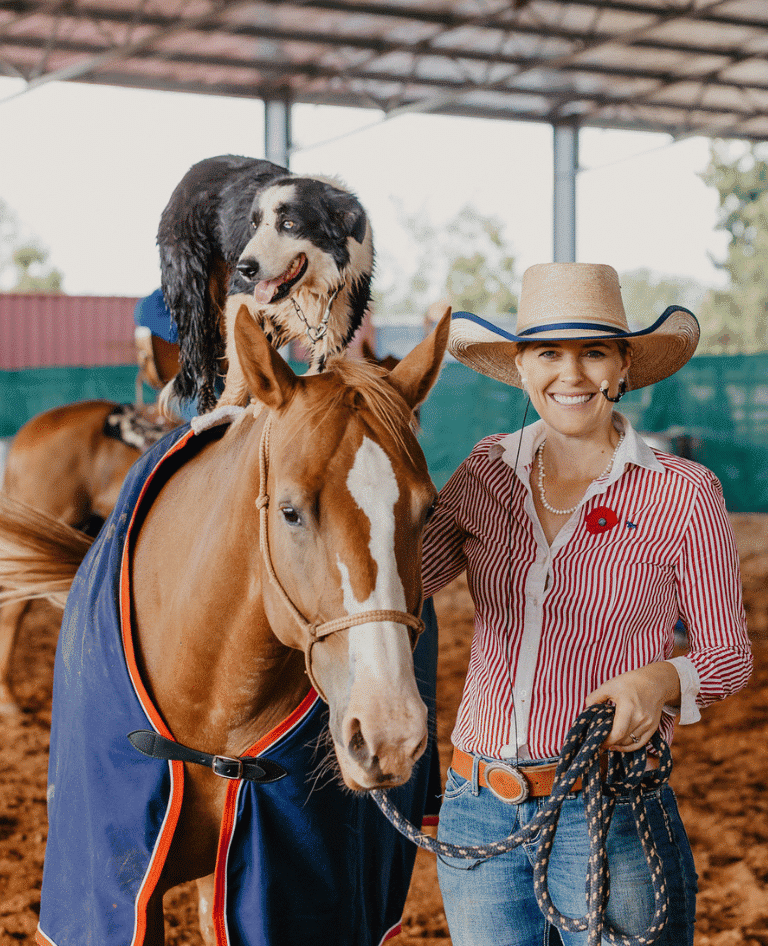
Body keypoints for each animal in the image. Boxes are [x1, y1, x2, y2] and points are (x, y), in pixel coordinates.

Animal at [158, 156, 374, 412]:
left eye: (289, 224)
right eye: (253, 225)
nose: (244, 269)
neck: (309, 290)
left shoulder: (336, 327)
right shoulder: (240, 296)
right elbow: (240, 364)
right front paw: (227, 408)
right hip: (193, 297)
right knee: (202, 357)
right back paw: (208, 408)